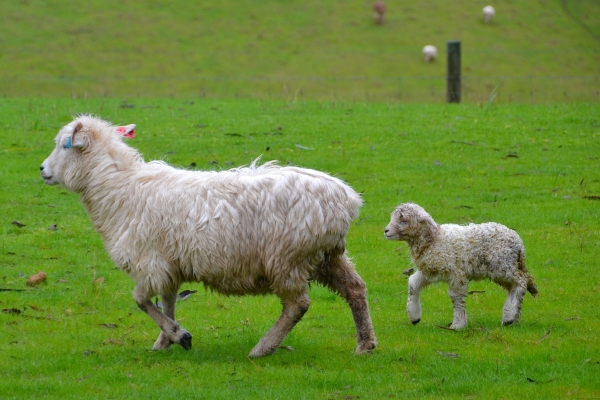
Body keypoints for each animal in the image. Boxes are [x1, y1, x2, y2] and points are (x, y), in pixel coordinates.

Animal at [38, 115, 376, 356]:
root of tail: (348, 199)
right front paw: (165, 341)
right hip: (328, 255)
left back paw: (263, 348)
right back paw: (365, 344)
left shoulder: (149, 262)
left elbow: (141, 301)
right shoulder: (169, 264)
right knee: (356, 289)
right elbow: (167, 302)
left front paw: (179, 335)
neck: (120, 188)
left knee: (298, 305)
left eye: (65, 145)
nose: (42, 170)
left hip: (287, 258)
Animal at [384, 202, 540, 330]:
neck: (434, 240)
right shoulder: (430, 270)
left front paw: (458, 325)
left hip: (502, 266)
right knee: (516, 287)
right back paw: (514, 317)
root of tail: (518, 242)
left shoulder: (456, 273)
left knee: (521, 282)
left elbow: (456, 297)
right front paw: (414, 317)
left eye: (404, 220)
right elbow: (413, 284)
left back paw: (509, 316)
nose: (386, 231)